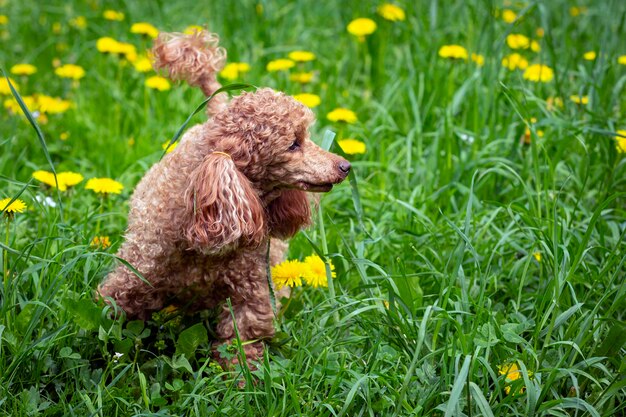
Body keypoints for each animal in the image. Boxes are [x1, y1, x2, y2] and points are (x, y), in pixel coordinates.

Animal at [98, 30, 352, 364]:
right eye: (294, 144)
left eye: (306, 138)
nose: (345, 166)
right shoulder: (134, 278)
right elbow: (115, 323)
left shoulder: (250, 292)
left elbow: (240, 342)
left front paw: (241, 376)